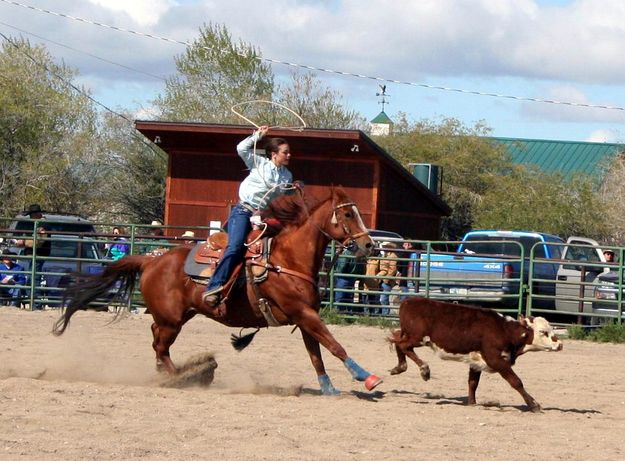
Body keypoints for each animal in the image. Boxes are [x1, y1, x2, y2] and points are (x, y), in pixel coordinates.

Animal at [53, 185, 382, 394]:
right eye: (348, 215)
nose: (370, 245)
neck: (288, 259)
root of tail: (151, 259)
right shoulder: (303, 313)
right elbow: (334, 344)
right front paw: (366, 376)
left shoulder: (304, 317)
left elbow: (317, 353)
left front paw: (329, 387)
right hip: (172, 320)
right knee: (160, 345)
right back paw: (181, 376)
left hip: (177, 316)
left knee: (156, 340)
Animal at [388, 296, 564, 412]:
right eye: (543, 332)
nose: (560, 344)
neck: (504, 331)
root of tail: (407, 302)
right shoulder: (496, 360)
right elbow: (516, 382)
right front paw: (534, 405)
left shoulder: (476, 362)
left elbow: (473, 382)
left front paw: (472, 403)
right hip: (418, 337)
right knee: (403, 345)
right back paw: (424, 369)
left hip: (409, 335)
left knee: (396, 341)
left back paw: (399, 367)